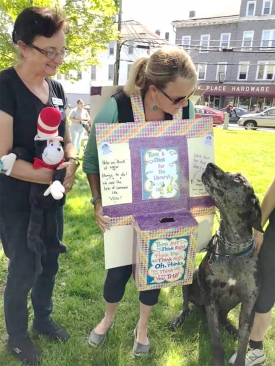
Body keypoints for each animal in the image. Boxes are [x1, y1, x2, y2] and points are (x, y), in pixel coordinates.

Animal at [171, 164, 264, 366]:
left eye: (238, 179)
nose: (209, 165)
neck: (232, 248)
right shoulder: (211, 300)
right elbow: (216, 341)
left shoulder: (248, 304)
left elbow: (243, 344)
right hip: (191, 277)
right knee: (185, 304)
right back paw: (178, 319)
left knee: (224, 318)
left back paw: (231, 328)